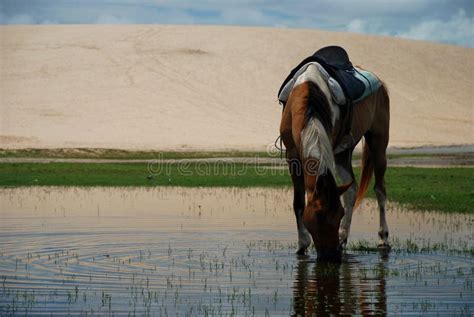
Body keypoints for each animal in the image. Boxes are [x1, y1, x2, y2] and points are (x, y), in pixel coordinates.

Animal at [278, 61, 388, 260]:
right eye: (319, 216)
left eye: (339, 214)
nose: (332, 256)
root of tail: (380, 83)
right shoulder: (292, 155)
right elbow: (298, 202)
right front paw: (302, 245)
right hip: (343, 153)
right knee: (351, 190)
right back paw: (344, 237)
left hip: (378, 142)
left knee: (380, 190)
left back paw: (382, 237)